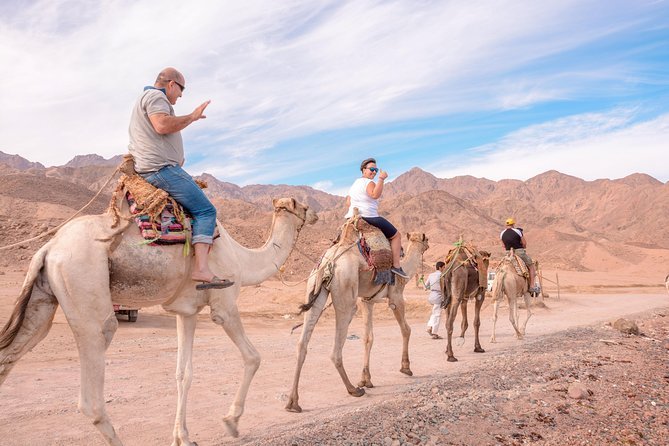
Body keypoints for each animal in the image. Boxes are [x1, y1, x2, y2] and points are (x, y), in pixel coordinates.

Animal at [0, 197, 318, 444]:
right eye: (302, 205)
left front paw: (183, 437)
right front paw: (231, 421)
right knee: (92, 394)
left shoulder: (187, 312)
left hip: (44, 298)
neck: (243, 259)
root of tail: (49, 248)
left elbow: (183, 373)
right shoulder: (224, 306)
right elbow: (253, 357)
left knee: (10, 354)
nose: (315, 213)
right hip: (83, 283)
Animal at [284, 230, 428, 414]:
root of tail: (330, 261)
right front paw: (406, 368)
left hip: (314, 286)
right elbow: (406, 329)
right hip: (346, 293)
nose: (427, 245)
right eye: (426, 239)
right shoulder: (396, 297)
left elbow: (368, 338)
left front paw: (366, 379)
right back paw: (353, 389)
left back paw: (293, 403)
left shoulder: (367, 301)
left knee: (302, 344)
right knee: (336, 349)